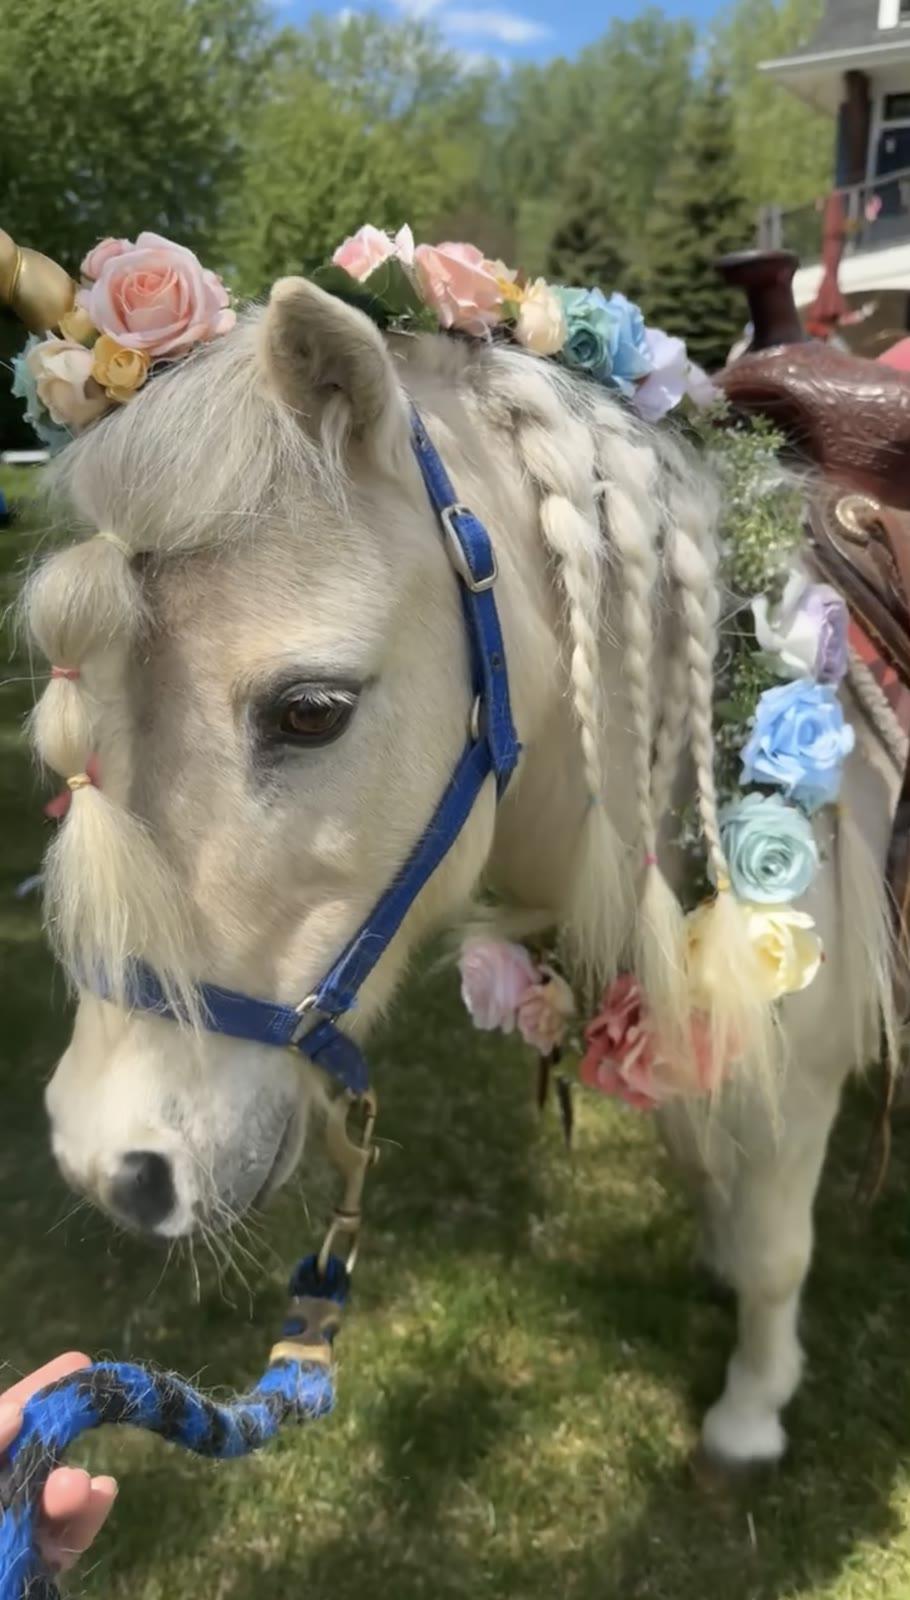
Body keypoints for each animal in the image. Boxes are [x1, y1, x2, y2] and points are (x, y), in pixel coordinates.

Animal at [18, 270, 899, 1473]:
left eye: (311, 710)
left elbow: (776, 1251)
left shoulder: (798, 1063)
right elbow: (709, 1167)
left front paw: (751, 1409)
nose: (104, 1160)